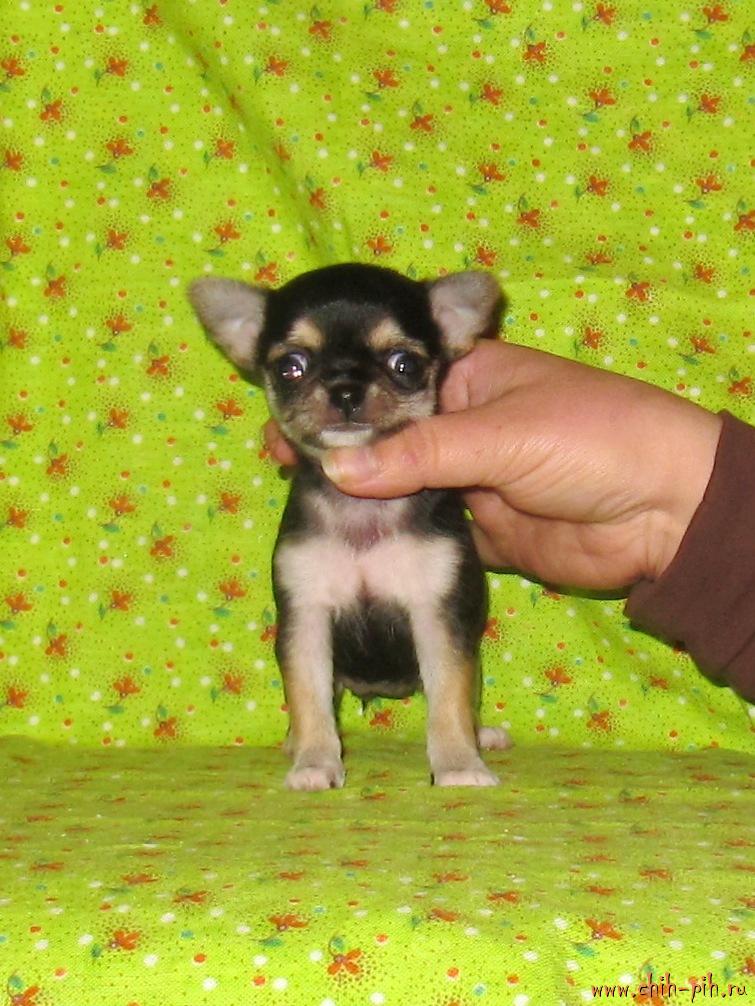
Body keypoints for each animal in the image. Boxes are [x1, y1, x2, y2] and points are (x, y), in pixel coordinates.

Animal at [189, 263, 511, 790]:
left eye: (404, 364)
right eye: (290, 366)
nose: (344, 389)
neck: (364, 510)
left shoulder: (437, 617)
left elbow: (449, 700)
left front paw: (459, 763)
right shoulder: (307, 619)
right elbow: (309, 699)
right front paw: (316, 761)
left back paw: (483, 736)